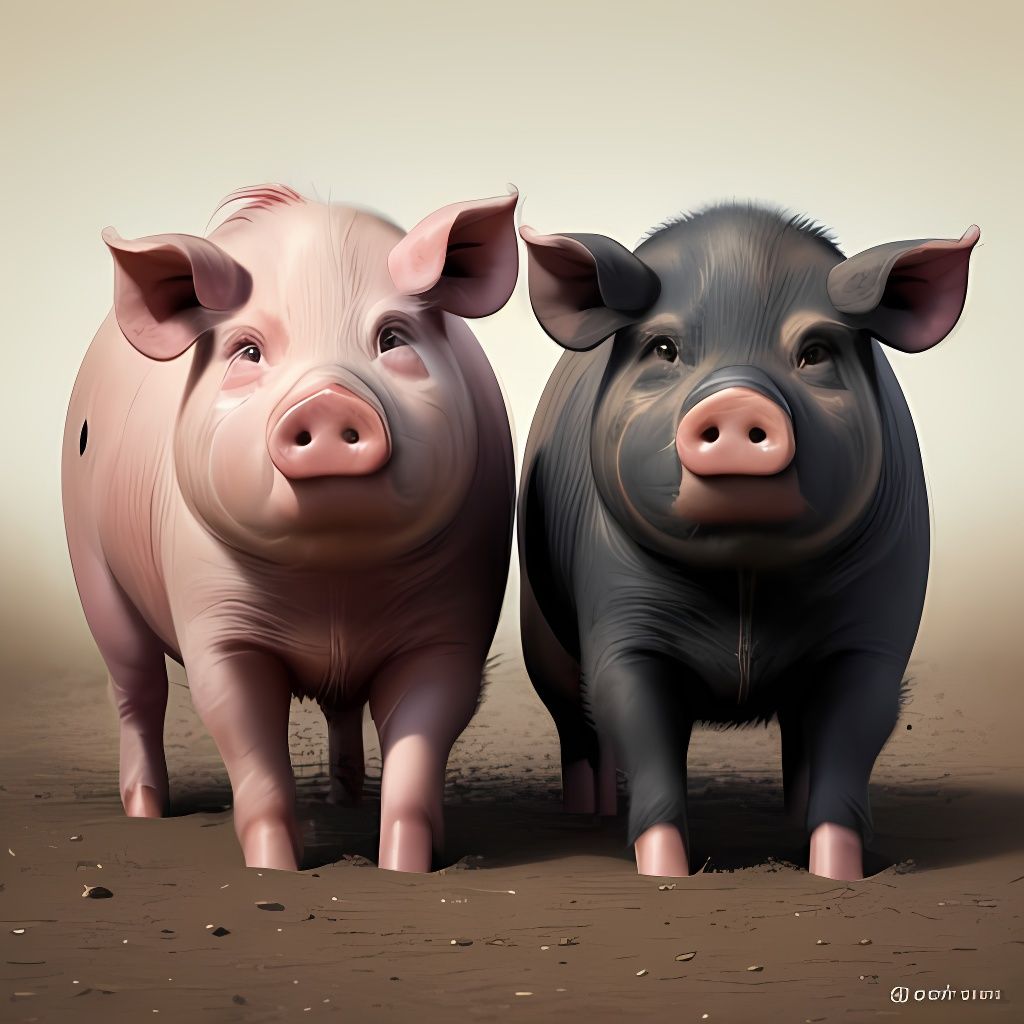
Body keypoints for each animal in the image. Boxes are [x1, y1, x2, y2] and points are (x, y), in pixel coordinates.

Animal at [62, 183, 518, 872]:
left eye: (392, 338)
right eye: (248, 351)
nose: (328, 401)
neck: (333, 581)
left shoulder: (454, 623)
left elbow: (424, 734)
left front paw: (405, 865)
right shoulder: (218, 625)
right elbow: (242, 729)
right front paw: (273, 867)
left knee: (341, 709)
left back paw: (346, 799)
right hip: (93, 567)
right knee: (137, 689)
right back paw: (145, 810)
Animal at [518, 202, 978, 880]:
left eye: (814, 352)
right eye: (664, 348)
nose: (736, 404)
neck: (743, 579)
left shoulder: (875, 635)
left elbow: (855, 733)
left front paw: (837, 871)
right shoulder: (621, 623)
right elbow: (637, 723)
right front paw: (665, 873)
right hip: (540, 631)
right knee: (576, 722)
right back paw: (589, 812)